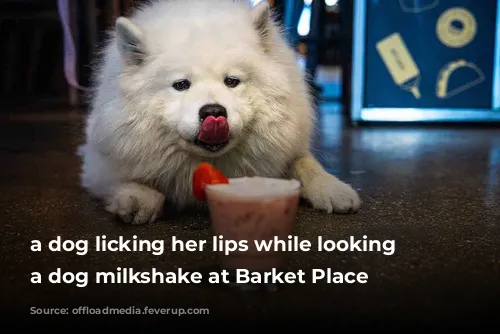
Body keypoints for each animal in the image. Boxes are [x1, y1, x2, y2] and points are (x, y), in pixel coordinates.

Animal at [79, 0, 360, 224]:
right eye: (181, 85)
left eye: (231, 81)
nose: (213, 111)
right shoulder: (102, 163)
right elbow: (125, 180)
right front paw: (137, 199)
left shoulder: (287, 147)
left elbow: (305, 164)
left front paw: (334, 190)